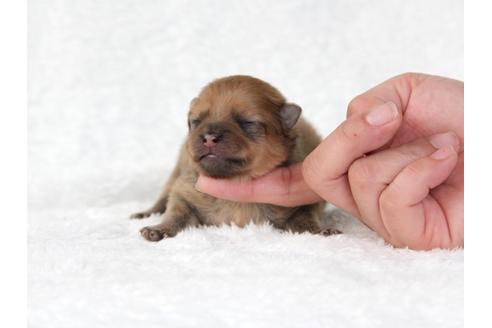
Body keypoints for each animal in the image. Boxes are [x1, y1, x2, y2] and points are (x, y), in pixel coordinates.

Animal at [131, 76, 338, 241]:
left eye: (247, 122)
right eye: (196, 121)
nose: (209, 137)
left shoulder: (307, 201)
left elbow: (304, 218)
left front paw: (319, 231)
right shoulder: (184, 190)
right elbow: (175, 213)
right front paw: (158, 229)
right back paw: (146, 214)